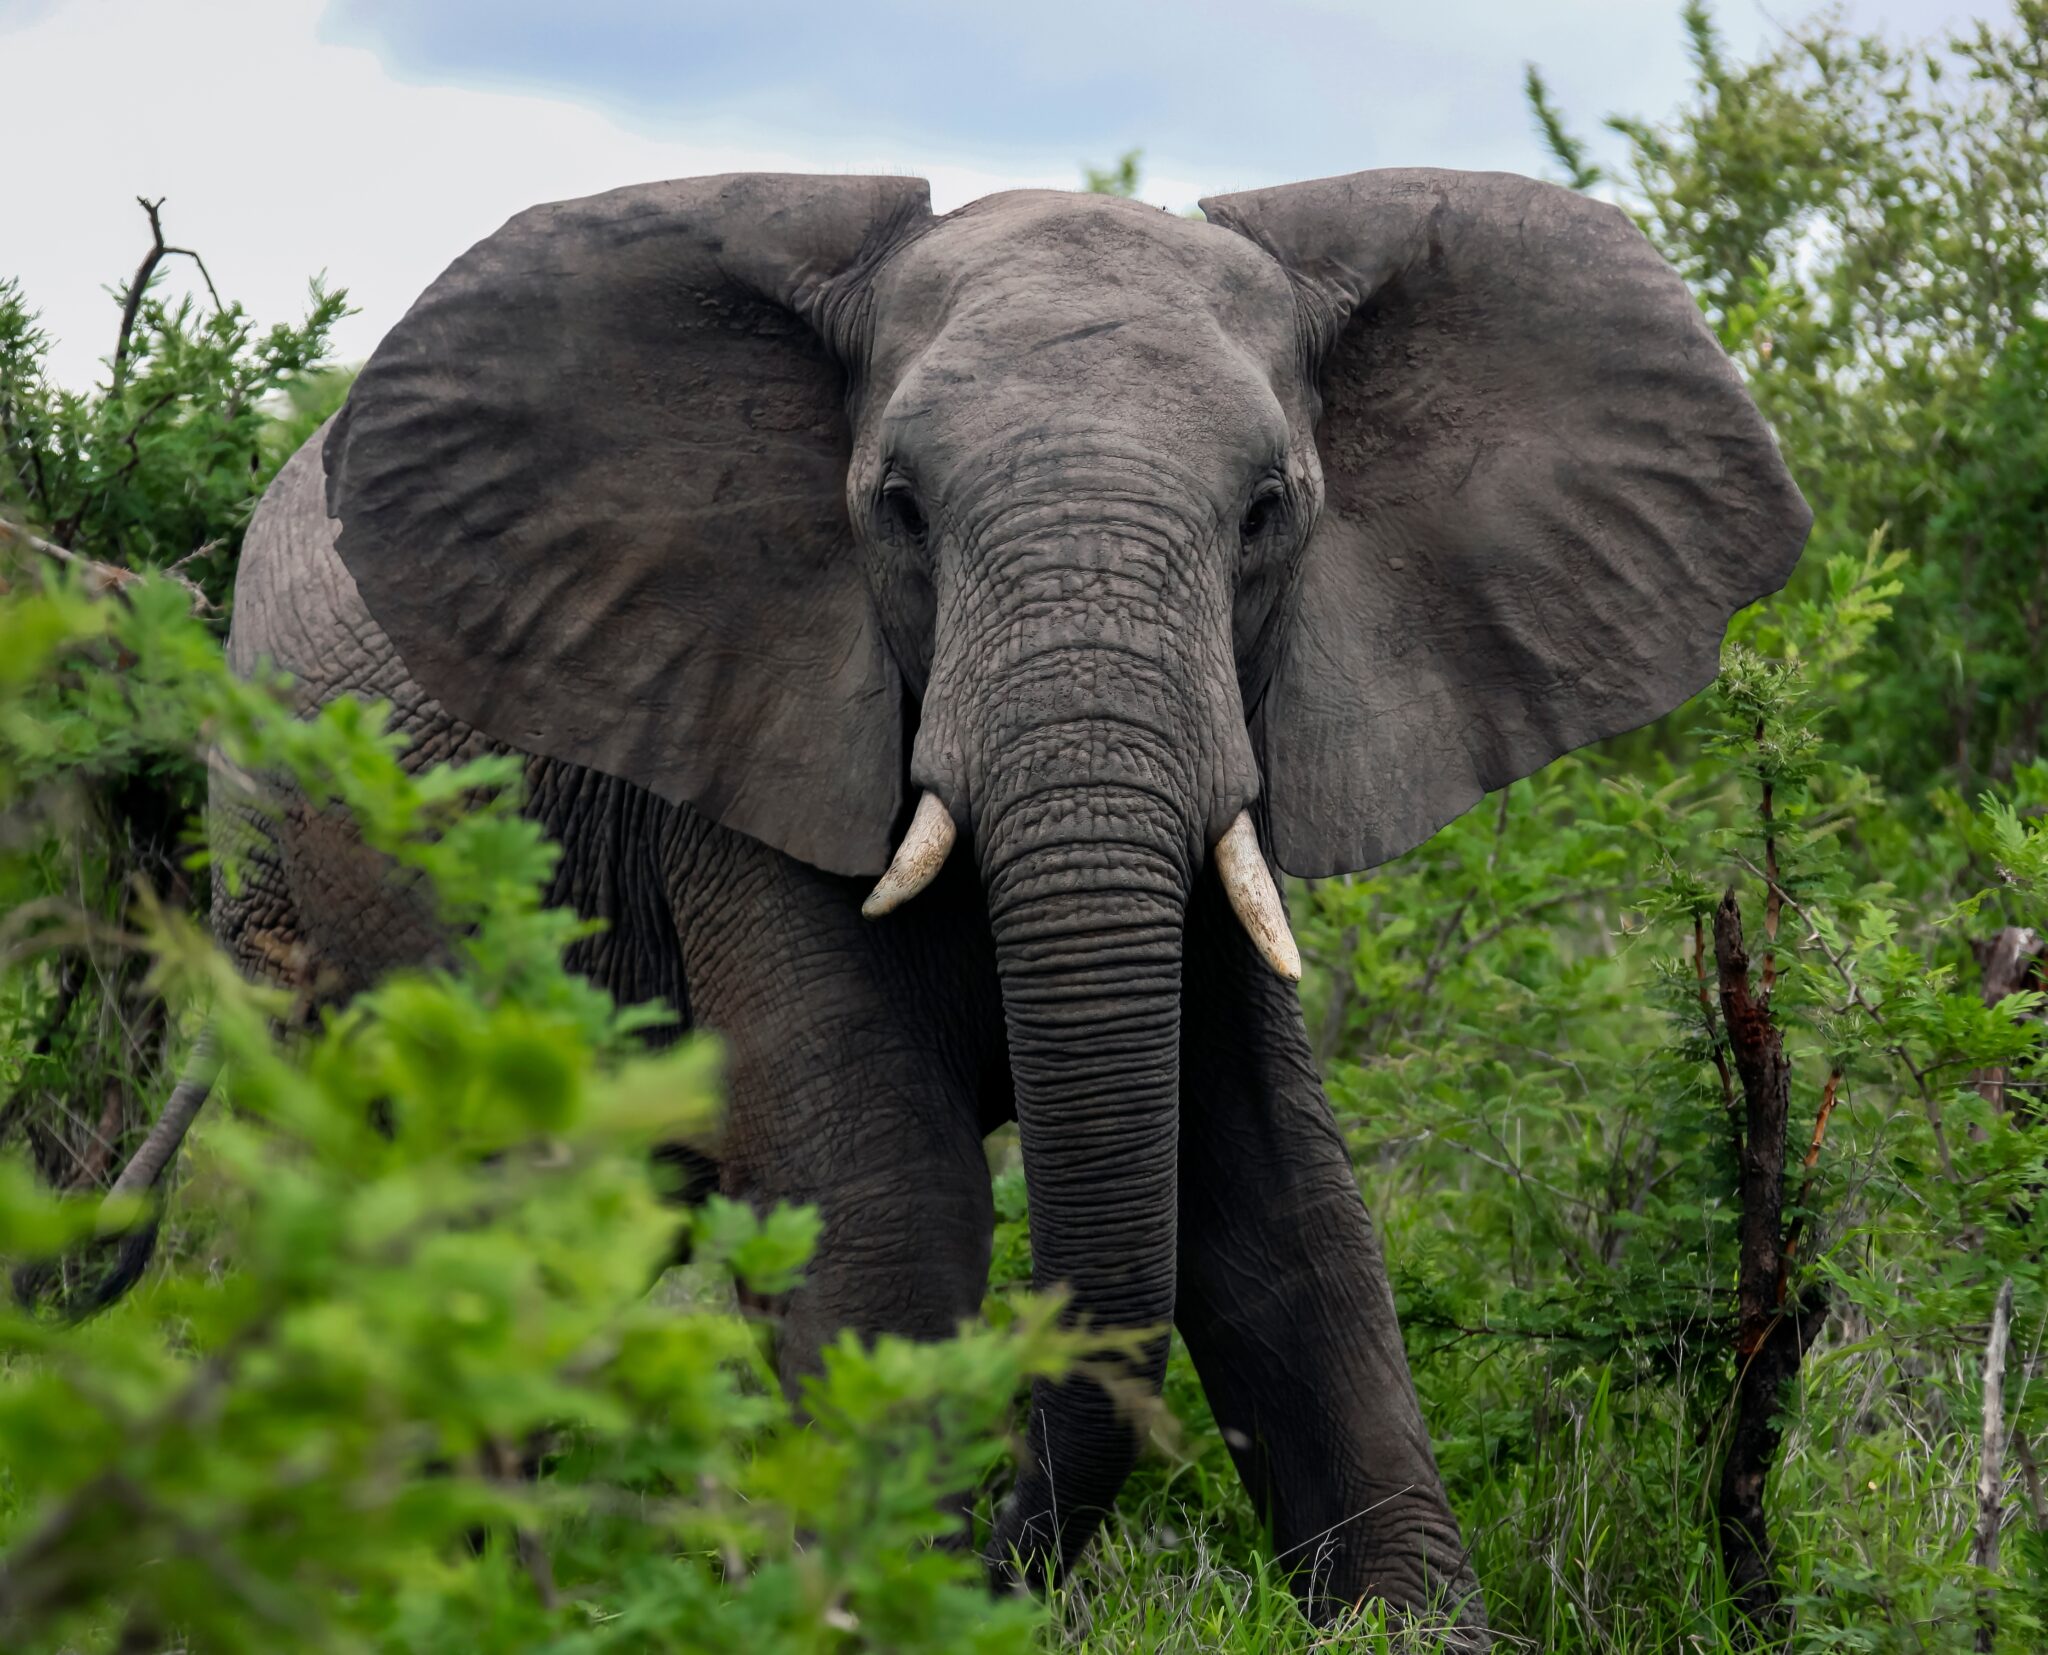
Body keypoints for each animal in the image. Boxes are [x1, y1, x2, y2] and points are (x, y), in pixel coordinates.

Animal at [211, 168, 1810, 1633]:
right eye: (899, 510)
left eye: (1266, 514)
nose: (1006, 1559)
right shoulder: (742, 753)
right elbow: (887, 1205)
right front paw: (882, 1597)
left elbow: (1280, 1206)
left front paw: (1412, 1628)